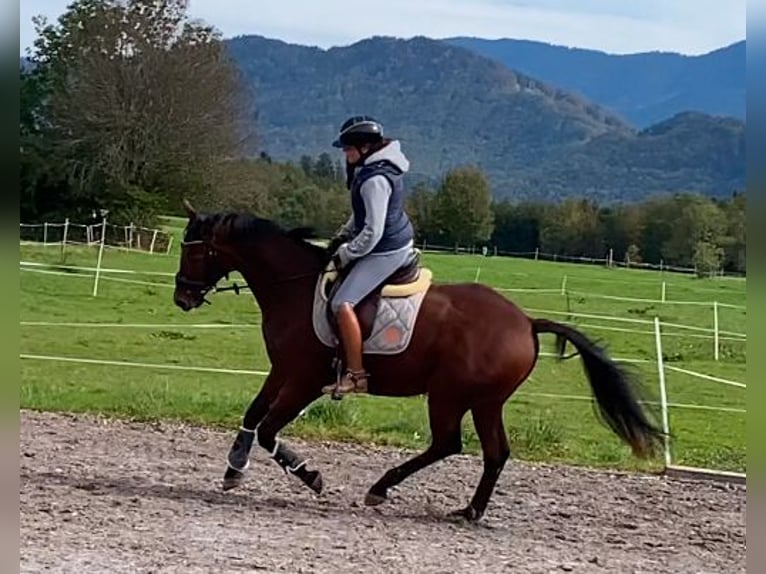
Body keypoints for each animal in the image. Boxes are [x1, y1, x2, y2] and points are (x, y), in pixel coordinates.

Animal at [174, 201, 664, 520]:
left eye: (194, 250)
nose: (182, 297)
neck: (293, 286)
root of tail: (526, 322)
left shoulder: (305, 379)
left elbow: (270, 429)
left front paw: (310, 476)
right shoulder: (283, 370)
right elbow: (253, 415)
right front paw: (233, 469)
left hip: (449, 395)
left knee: (448, 443)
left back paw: (381, 488)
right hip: (485, 402)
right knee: (494, 452)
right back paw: (469, 511)